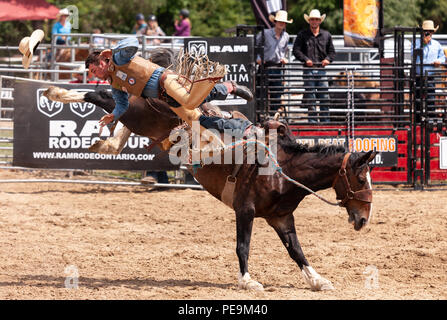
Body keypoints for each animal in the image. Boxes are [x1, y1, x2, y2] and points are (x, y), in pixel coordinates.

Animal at [45, 86, 376, 292]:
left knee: (115, 107)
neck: (283, 171)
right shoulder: (245, 210)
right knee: (100, 94)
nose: (363, 219)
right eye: (361, 180)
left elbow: (297, 250)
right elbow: (243, 246)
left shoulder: (281, 217)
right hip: (139, 112)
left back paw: (106, 142)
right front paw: (248, 281)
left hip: (141, 120)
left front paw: (317, 280)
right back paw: (56, 92)